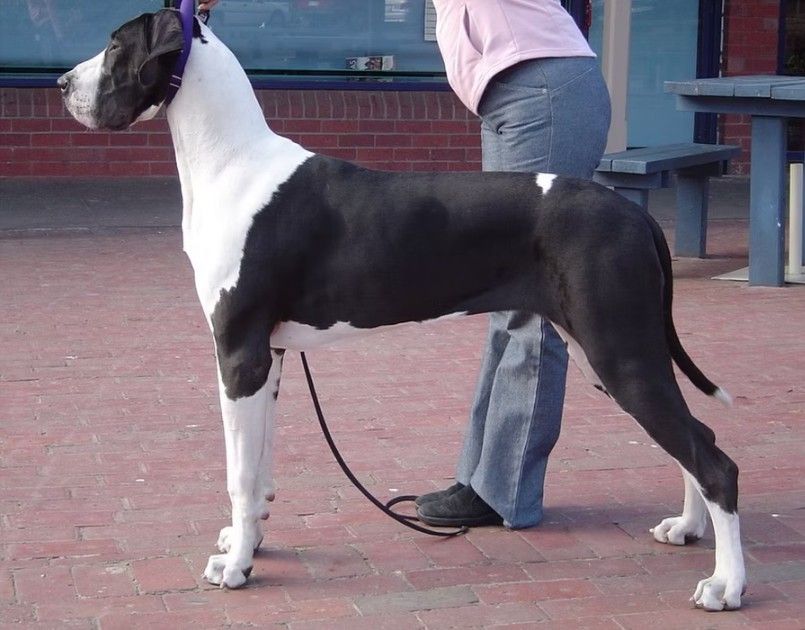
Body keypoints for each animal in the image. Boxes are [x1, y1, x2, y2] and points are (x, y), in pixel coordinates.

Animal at [59, 9, 746, 610]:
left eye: (116, 45)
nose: (63, 84)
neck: (232, 161)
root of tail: (632, 213)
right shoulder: (270, 354)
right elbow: (258, 466)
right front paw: (245, 537)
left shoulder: (239, 355)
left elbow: (238, 472)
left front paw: (236, 566)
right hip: (614, 349)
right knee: (696, 439)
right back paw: (687, 529)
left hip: (619, 349)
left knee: (715, 461)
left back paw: (727, 585)